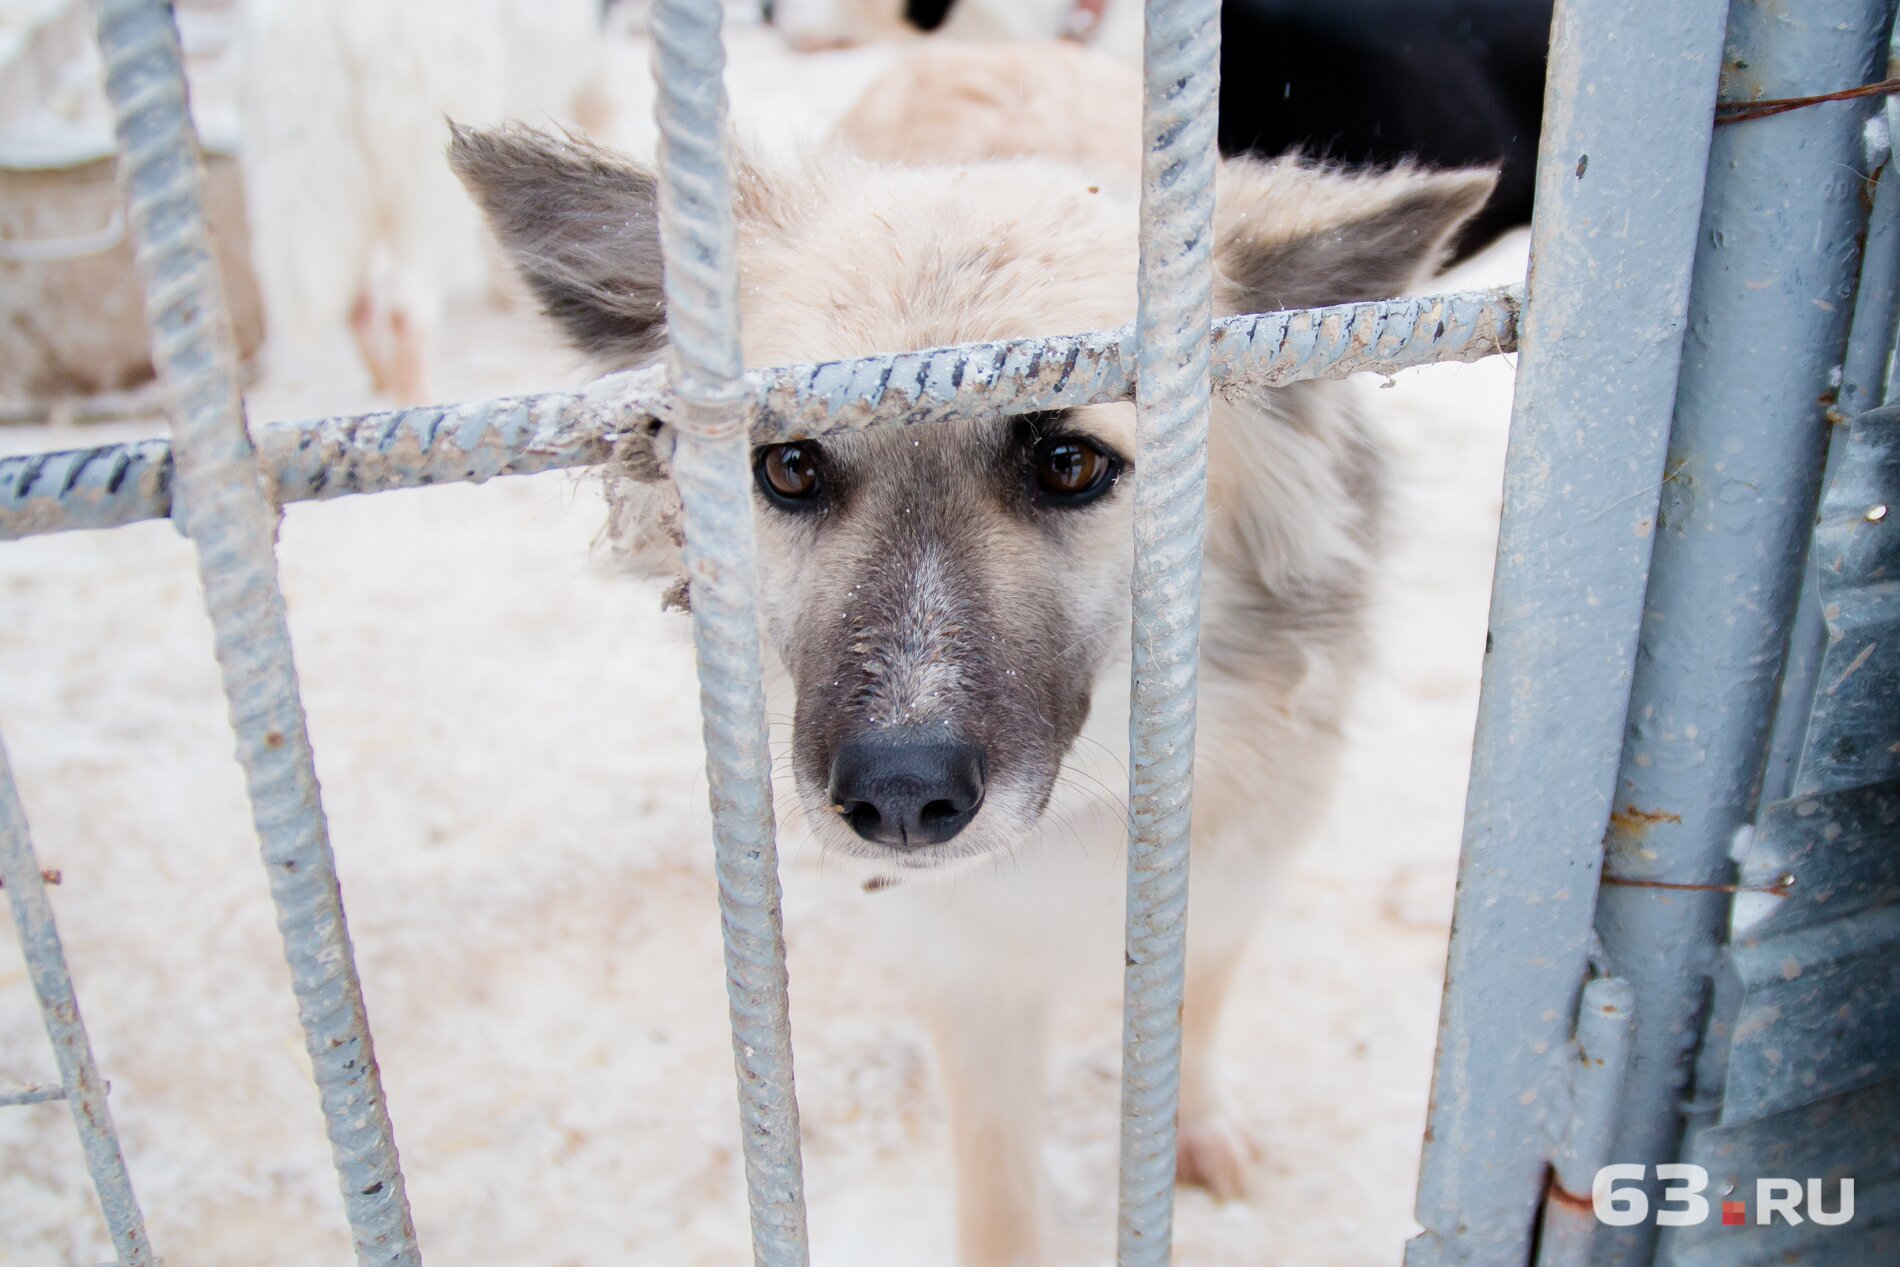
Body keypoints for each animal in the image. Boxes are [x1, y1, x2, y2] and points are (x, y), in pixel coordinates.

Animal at [239, 0, 608, 404]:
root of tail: (317, 17)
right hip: (427, 193)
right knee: (406, 310)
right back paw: (417, 397)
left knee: (358, 304)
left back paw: (383, 383)